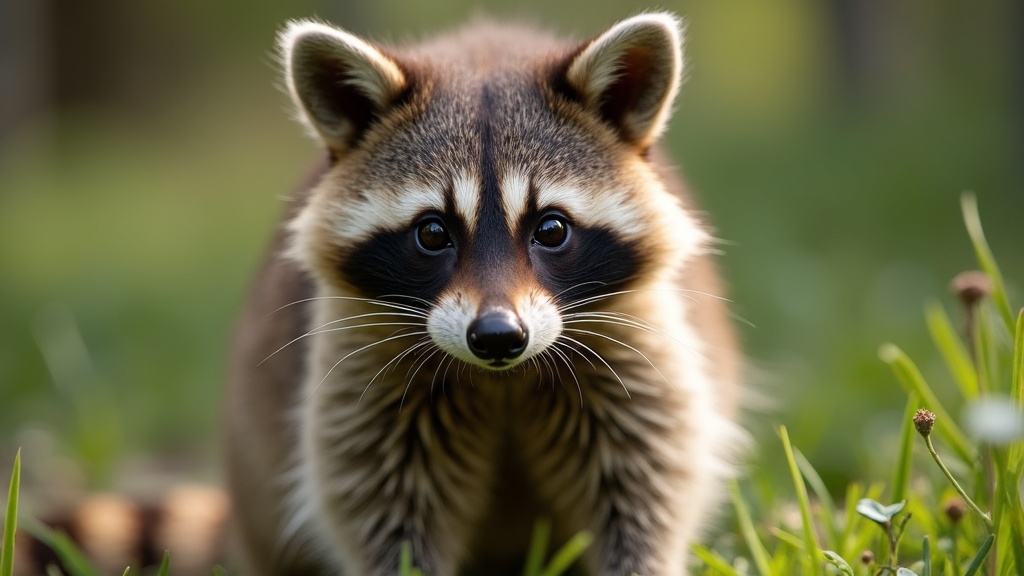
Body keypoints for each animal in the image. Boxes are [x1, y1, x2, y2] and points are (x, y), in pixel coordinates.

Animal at [224, 12, 743, 576]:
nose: (497, 337)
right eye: (432, 234)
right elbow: (380, 506)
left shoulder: (637, 344)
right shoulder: (361, 372)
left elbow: (647, 485)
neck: (503, 381)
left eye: (551, 229)